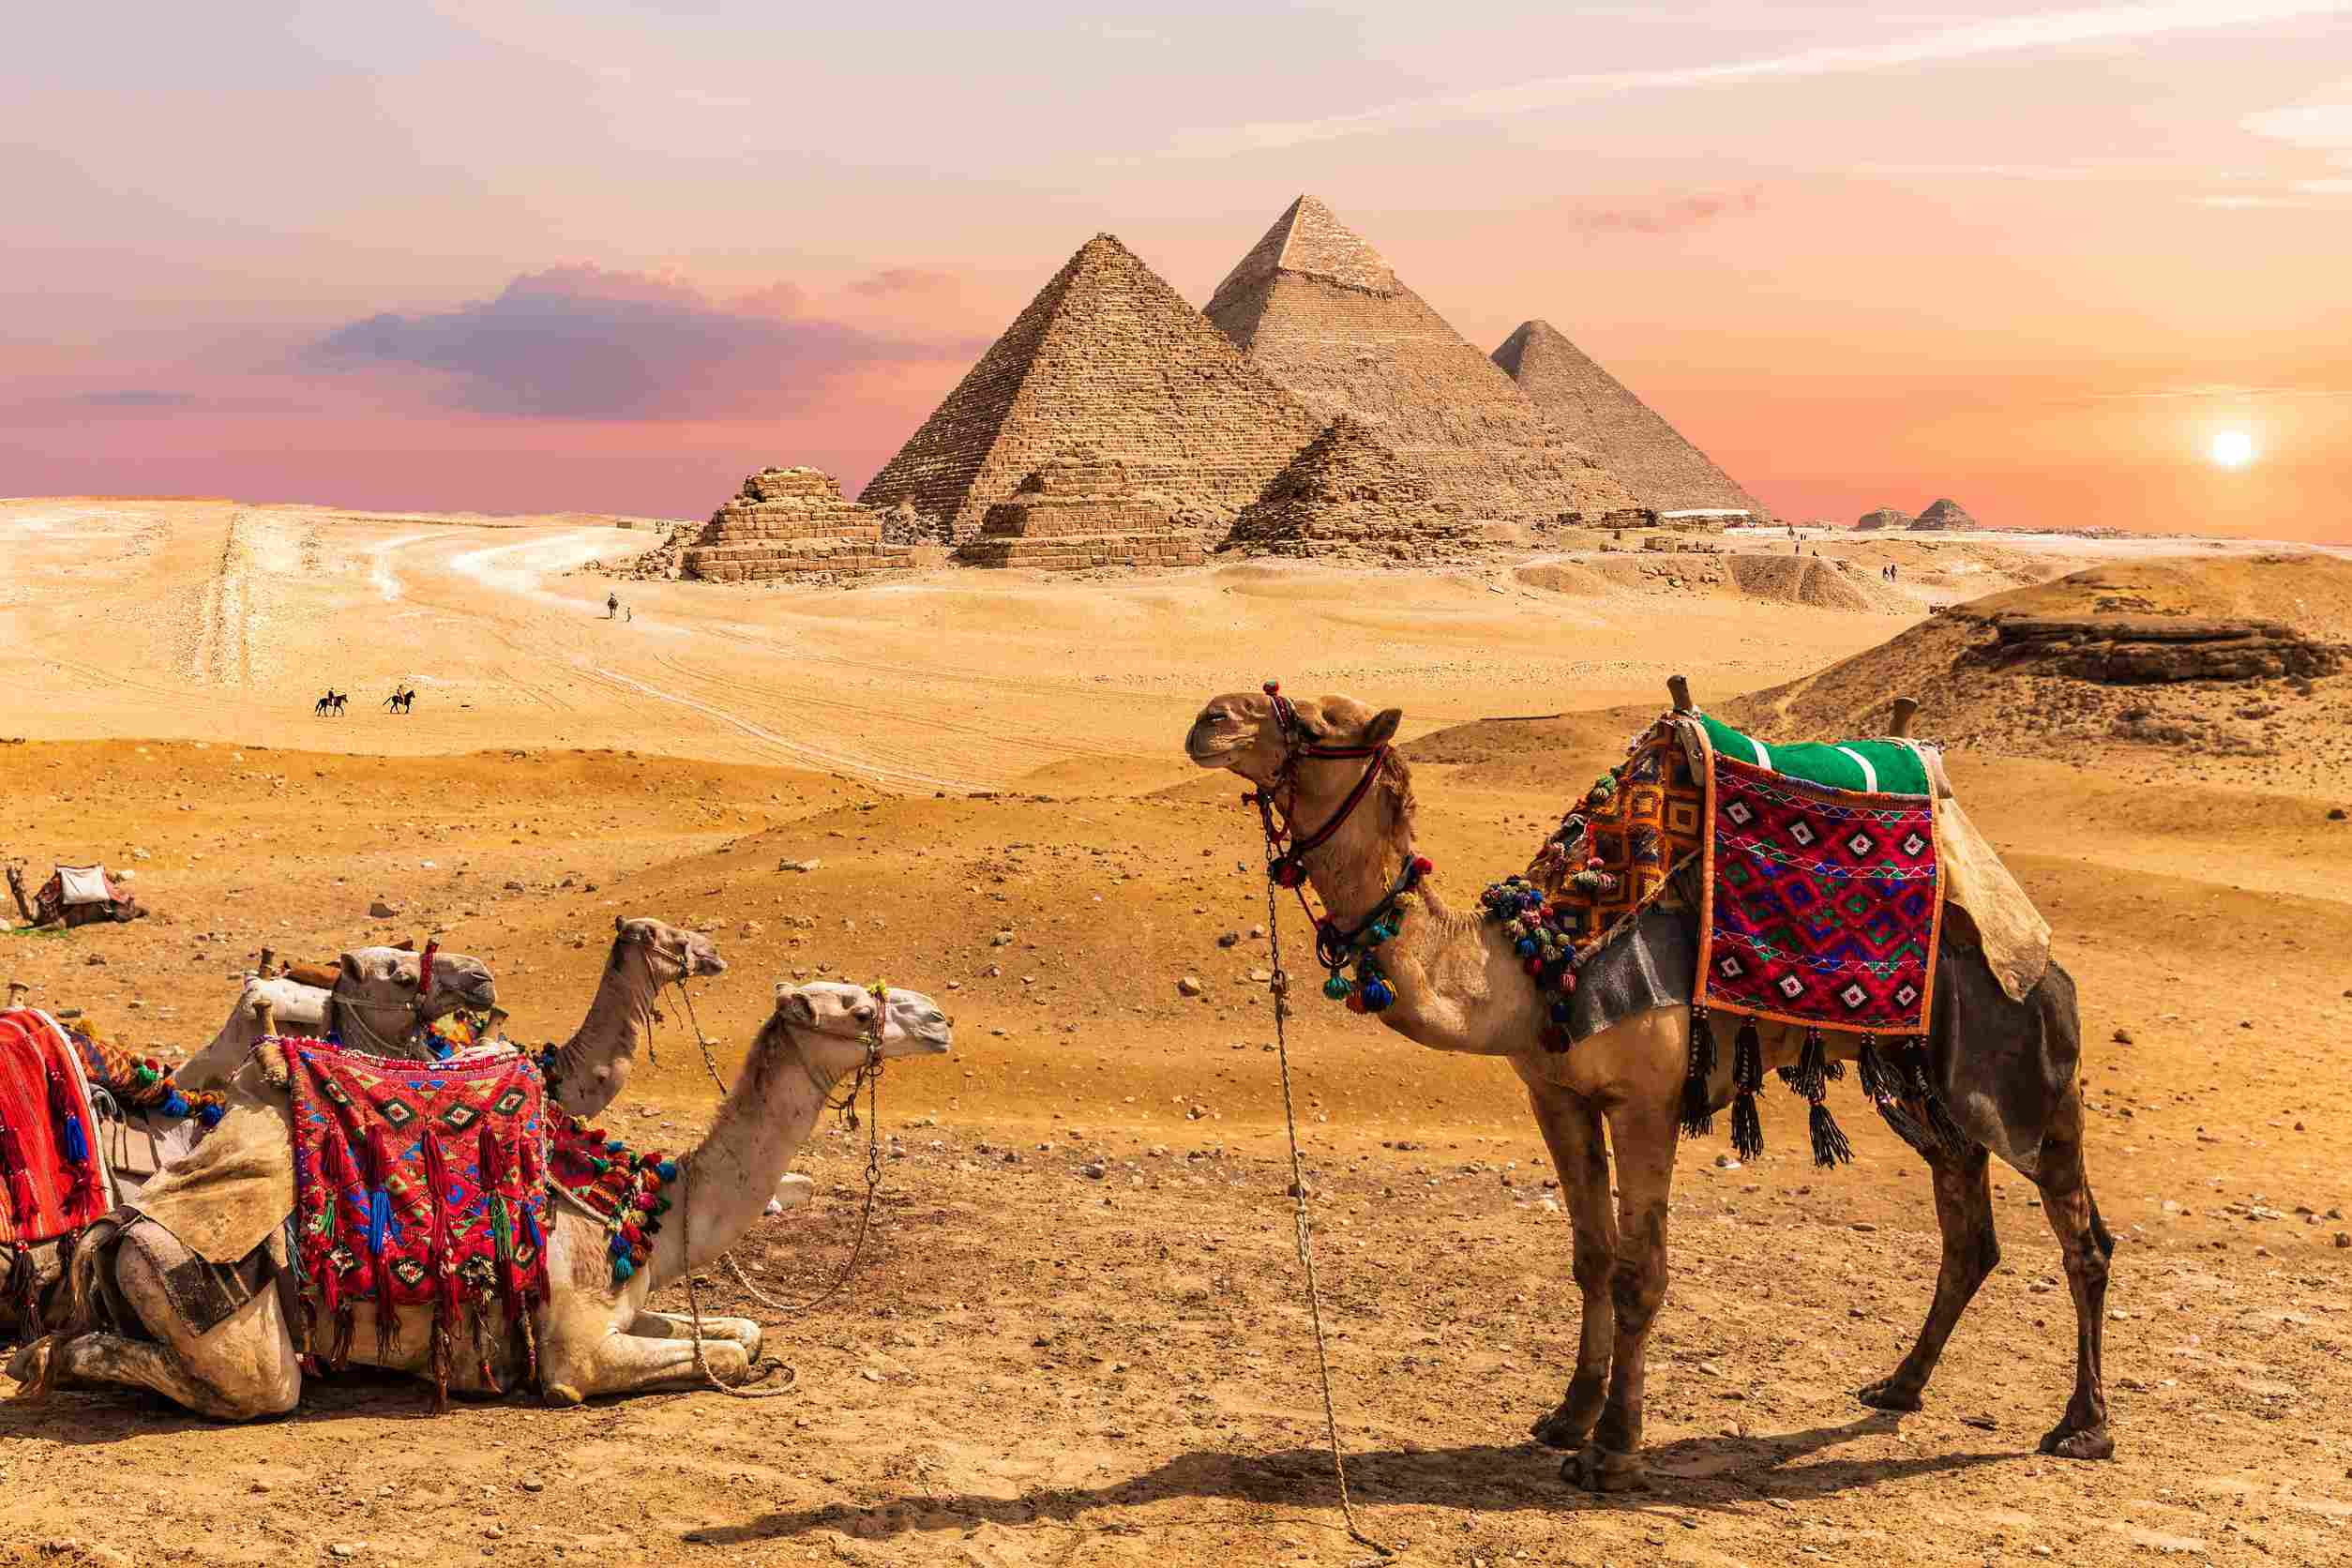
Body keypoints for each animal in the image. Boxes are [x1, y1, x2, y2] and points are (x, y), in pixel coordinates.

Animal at [11, 980, 952, 1418]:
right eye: (856, 1005)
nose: (940, 1020)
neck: (653, 1213)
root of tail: (117, 1230)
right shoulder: (577, 1351)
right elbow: (716, 1353)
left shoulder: (624, 1304)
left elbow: (744, 1333)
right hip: (213, 1302)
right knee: (248, 1382)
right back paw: (45, 1361)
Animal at [1185, 686, 2113, 1490]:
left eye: (1315, 721)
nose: (1210, 718)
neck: (1532, 965)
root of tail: (2042, 949)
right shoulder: (1556, 1096)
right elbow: (1591, 1258)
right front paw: (1567, 1417)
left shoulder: (1648, 1103)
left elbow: (1641, 1273)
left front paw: (1613, 1450)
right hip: (1926, 1091)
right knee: (1969, 1232)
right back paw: (1899, 1385)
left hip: (2023, 1069)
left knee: (2081, 1235)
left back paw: (2083, 1425)